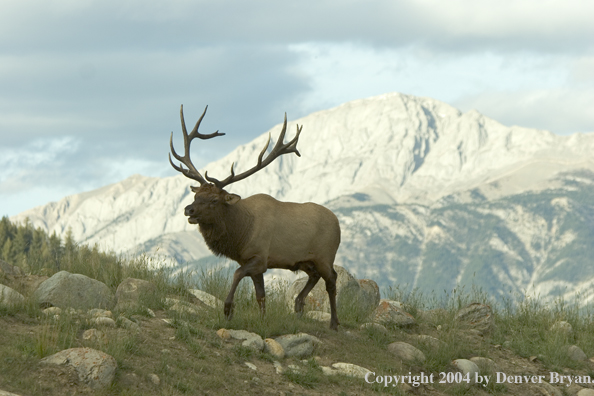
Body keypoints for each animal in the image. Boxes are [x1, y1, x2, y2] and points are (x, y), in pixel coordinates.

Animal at [169, 105, 340, 332]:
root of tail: (338, 223)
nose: (189, 210)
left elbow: (237, 274)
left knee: (331, 280)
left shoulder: (260, 257)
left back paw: (334, 322)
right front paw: (262, 320)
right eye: (196, 196)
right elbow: (260, 295)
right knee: (314, 276)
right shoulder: (253, 261)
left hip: (325, 255)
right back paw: (298, 305)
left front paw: (228, 310)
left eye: (214, 200)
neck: (240, 234)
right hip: (305, 260)